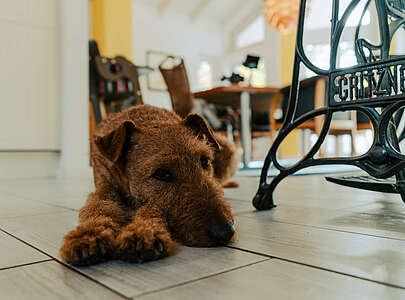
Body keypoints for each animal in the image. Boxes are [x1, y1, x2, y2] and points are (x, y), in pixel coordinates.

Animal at [58, 104, 238, 266]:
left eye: (204, 161)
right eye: (162, 173)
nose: (226, 231)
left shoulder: (152, 202)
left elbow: (150, 209)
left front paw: (143, 232)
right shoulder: (104, 187)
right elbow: (97, 207)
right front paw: (86, 237)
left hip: (226, 145)